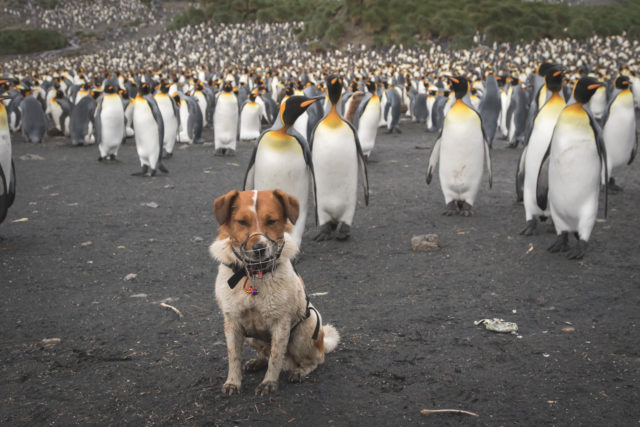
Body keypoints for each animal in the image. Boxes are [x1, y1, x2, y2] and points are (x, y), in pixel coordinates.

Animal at [210, 189, 340, 396]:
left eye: (271, 221)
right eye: (242, 222)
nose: (259, 248)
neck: (254, 274)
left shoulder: (281, 322)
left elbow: (276, 356)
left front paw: (269, 383)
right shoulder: (232, 321)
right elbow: (233, 357)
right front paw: (233, 382)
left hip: (306, 330)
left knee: (315, 360)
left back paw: (300, 371)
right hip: (251, 337)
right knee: (265, 353)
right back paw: (257, 362)